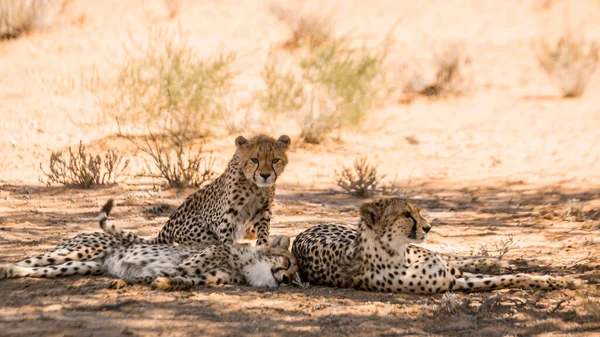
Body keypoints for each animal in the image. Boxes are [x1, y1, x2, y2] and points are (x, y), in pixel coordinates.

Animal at [0, 200, 300, 288]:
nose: (286, 279)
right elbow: (175, 268)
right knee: (31, 259)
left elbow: (181, 280)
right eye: (288, 262)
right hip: (79, 250)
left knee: (36, 269)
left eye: (298, 279)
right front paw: (134, 281)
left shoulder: (207, 278)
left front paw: (161, 283)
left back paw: (13, 272)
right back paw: (5, 268)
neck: (250, 266)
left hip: (83, 266)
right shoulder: (204, 254)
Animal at [292, 197, 580, 292]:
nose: (428, 227)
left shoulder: (449, 274)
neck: (398, 253)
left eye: (418, 212)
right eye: (406, 215)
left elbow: (513, 274)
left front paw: (558, 279)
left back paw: (498, 260)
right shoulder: (453, 283)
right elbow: (507, 279)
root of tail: (304, 230)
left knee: (456, 259)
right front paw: (558, 282)